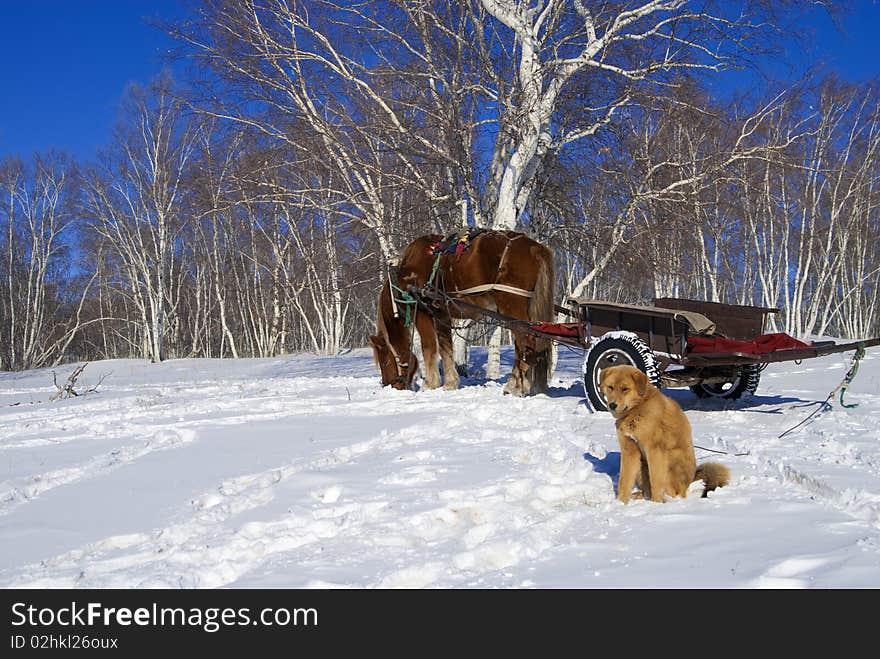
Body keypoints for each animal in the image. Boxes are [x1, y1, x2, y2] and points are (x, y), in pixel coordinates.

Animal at [368, 231, 552, 398]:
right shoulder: (441, 315)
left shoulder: (421, 312)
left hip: (511, 306)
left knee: (526, 341)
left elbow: (429, 347)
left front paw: (430, 384)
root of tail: (535, 247)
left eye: (385, 360)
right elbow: (445, 349)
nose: (390, 384)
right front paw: (450, 383)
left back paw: (516, 387)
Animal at [600, 364, 728, 502]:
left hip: (671, 461)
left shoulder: (654, 450)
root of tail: (691, 481)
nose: (612, 405)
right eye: (610, 387)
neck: (637, 409)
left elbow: (656, 481)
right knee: (648, 489)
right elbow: (624, 481)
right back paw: (639, 495)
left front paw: (656, 503)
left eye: (625, 389)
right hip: (642, 465)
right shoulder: (629, 451)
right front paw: (621, 502)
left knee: (674, 492)